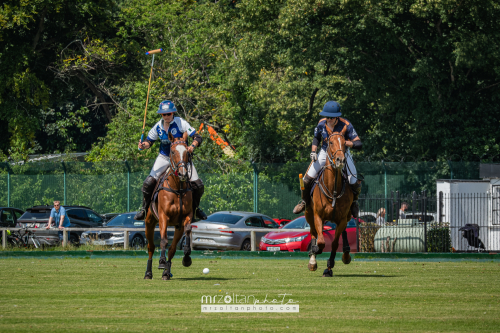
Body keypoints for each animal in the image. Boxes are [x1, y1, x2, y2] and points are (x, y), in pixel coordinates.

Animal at [144, 134, 194, 278]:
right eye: (172, 152)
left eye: (187, 152)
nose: (183, 173)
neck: (177, 188)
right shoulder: (163, 216)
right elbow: (163, 240)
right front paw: (161, 261)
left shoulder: (186, 216)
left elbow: (188, 230)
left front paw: (187, 256)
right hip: (149, 222)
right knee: (151, 247)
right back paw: (148, 273)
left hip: (177, 227)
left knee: (172, 249)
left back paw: (166, 273)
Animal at [304, 126, 356, 276]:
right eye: (331, 142)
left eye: (345, 143)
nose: (340, 160)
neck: (333, 191)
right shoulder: (318, 216)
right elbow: (321, 241)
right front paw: (315, 251)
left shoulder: (342, 219)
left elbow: (334, 243)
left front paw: (329, 267)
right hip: (308, 214)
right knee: (313, 232)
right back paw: (312, 260)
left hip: (347, 215)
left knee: (344, 232)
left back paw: (346, 254)